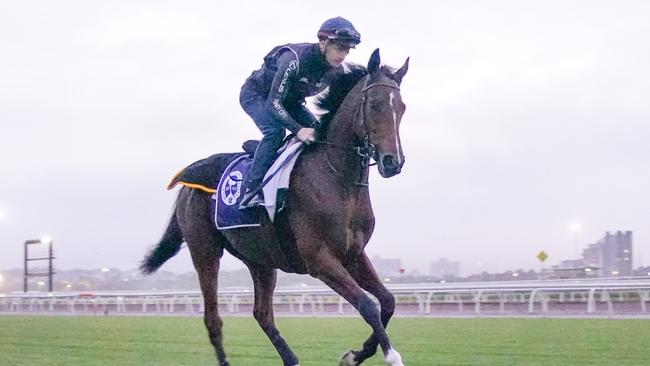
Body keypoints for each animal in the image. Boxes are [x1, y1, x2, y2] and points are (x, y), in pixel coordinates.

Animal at [140, 49, 408, 366]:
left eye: (402, 107)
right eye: (375, 105)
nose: (393, 162)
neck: (336, 178)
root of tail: (184, 184)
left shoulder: (353, 254)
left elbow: (388, 301)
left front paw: (355, 355)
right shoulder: (320, 259)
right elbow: (368, 305)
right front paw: (389, 355)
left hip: (260, 258)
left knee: (262, 314)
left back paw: (291, 358)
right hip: (205, 251)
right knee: (213, 319)